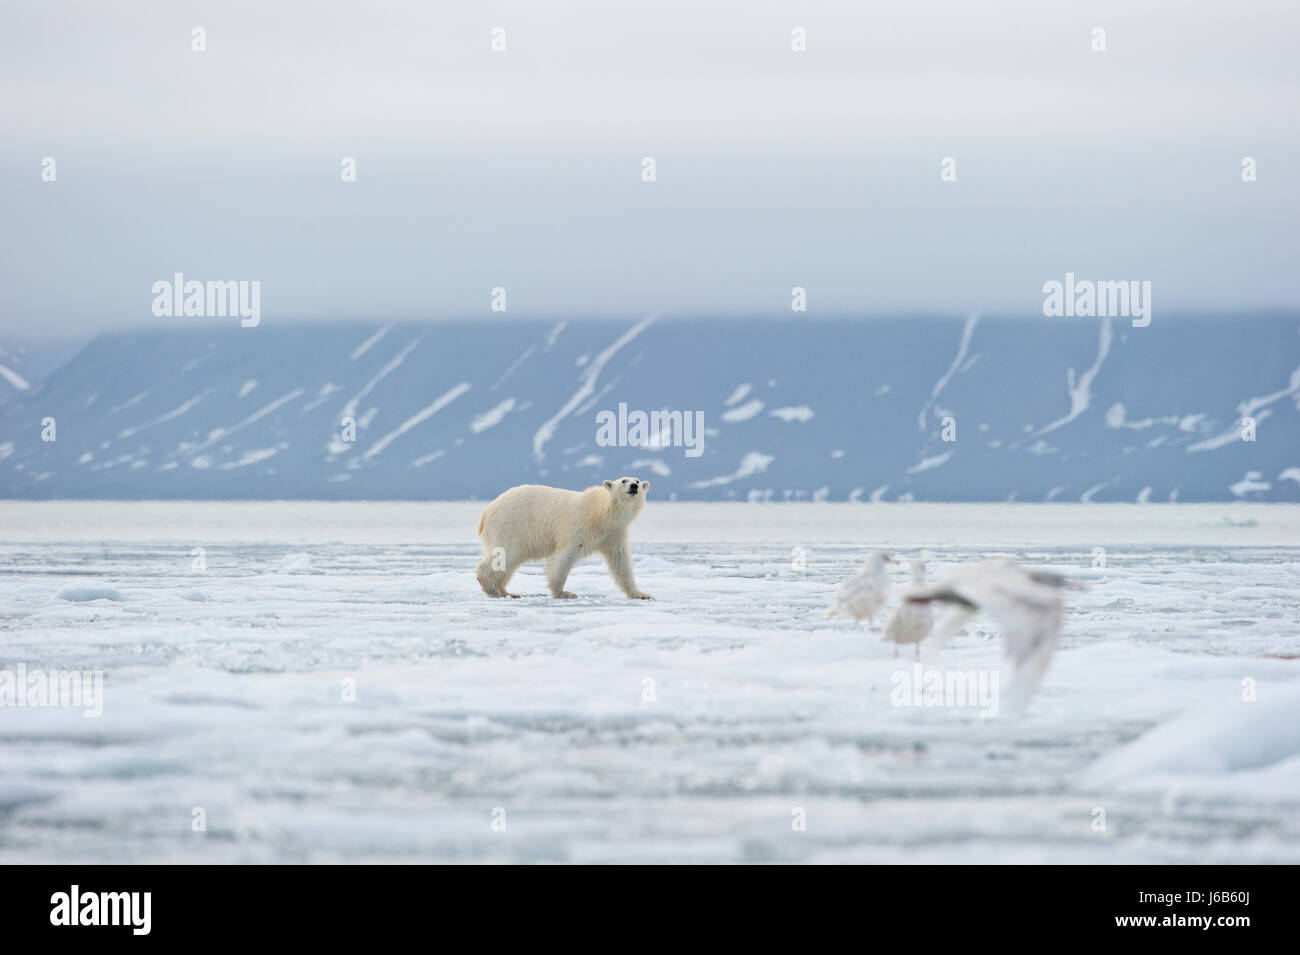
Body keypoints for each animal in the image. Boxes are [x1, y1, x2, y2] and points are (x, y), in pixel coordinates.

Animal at [478, 478, 655, 597]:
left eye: (638, 480)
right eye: (624, 480)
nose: (634, 486)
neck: (602, 512)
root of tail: (487, 511)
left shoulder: (613, 533)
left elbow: (620, 562)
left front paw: (641, 594)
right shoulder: (581, 525)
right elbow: (565, 555)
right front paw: (564, 593)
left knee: (509, 562)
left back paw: (506, 591)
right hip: (511, 526)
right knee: (505, 554)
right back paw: (492, 589)